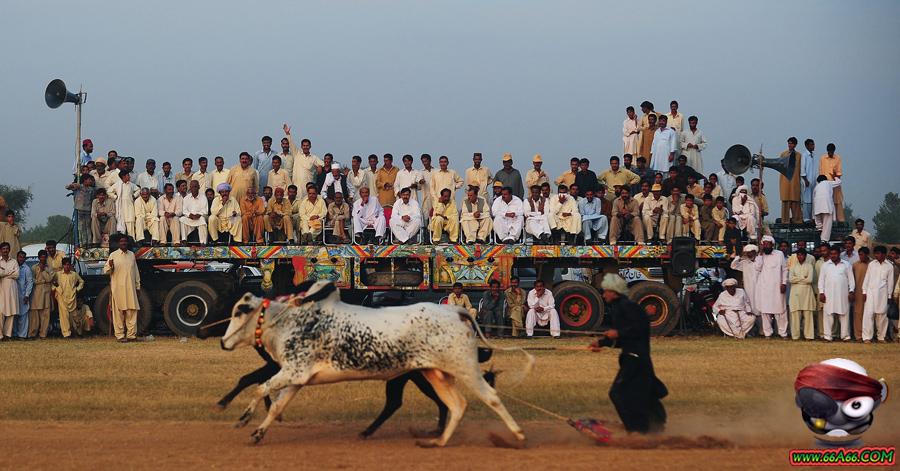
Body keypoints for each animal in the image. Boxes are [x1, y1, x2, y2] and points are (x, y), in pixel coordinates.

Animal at [222, 282, 536, 448]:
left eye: (239, 311)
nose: (223, 342)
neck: (289, 321)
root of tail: (456, 311)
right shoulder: (297, 378)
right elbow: (276, 405)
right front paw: (257, 432)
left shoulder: (292, 371)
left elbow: (261, 389)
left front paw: (243, 419)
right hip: (435, 374)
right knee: (456, 405)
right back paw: (438, 441)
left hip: (463, 369)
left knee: (489, 397)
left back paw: (519, 436)